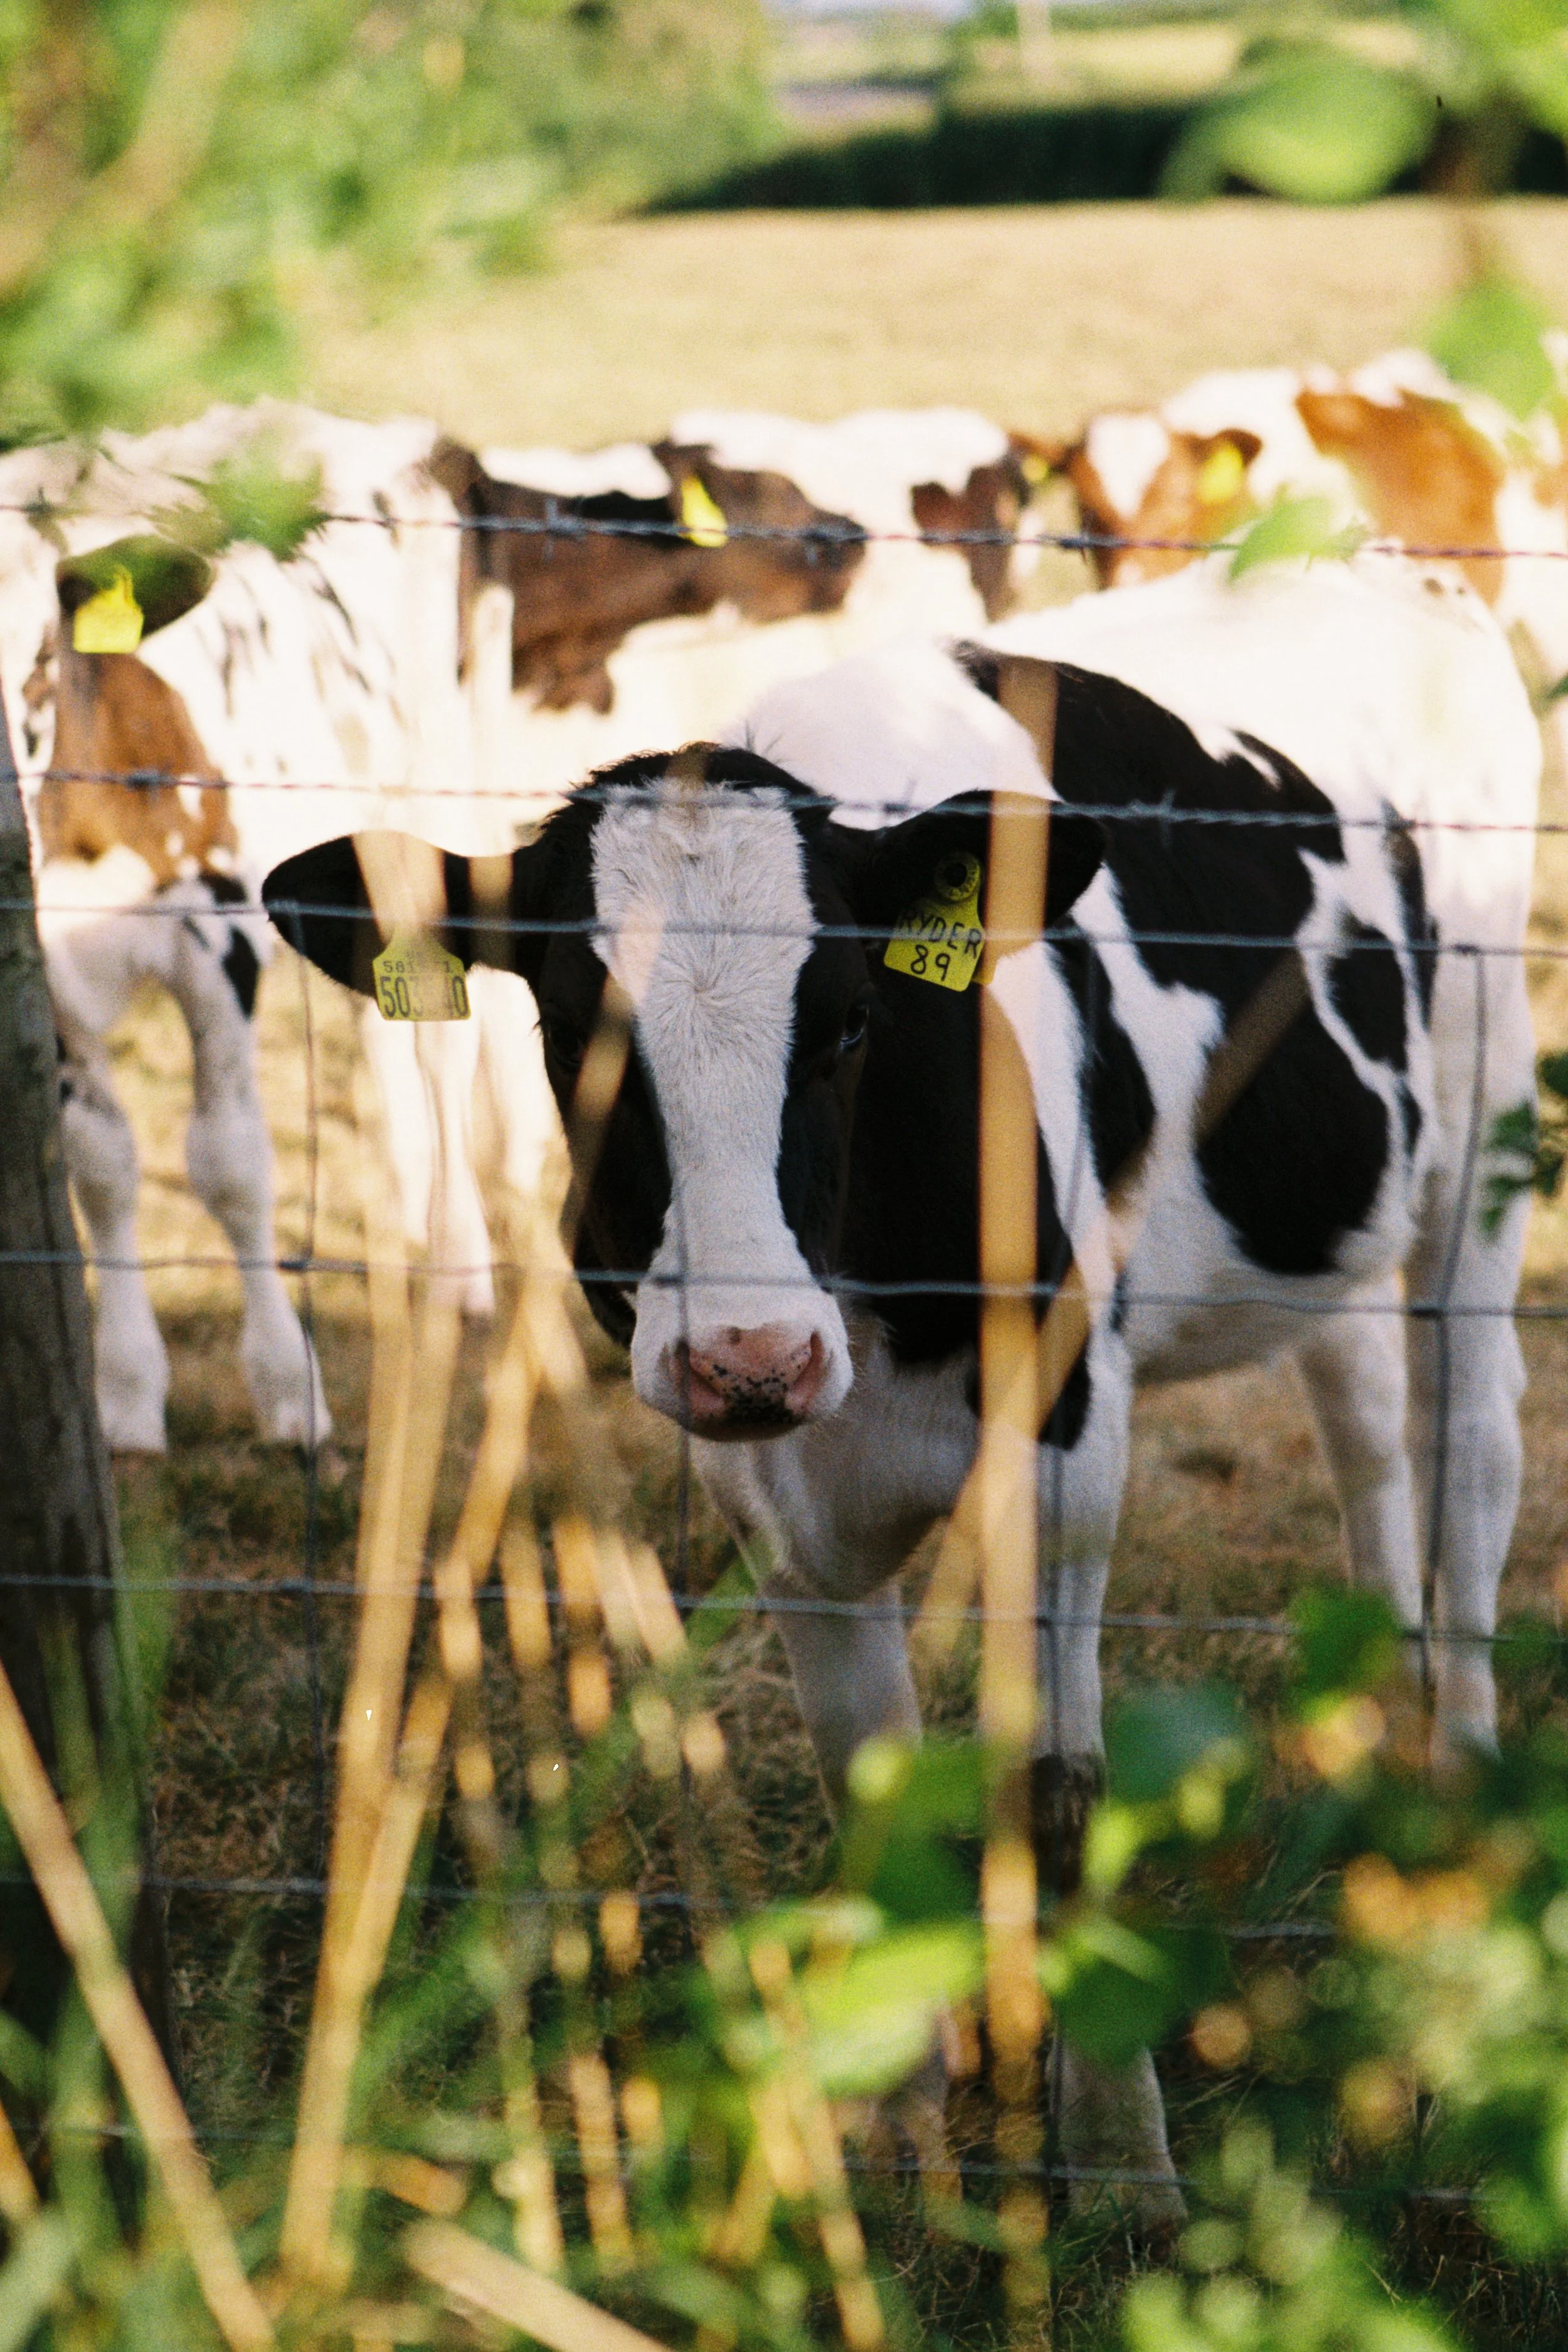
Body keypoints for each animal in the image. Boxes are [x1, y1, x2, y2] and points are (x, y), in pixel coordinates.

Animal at [263, 555, 1538, 2218]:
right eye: (567, 1030)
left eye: (853, 1021)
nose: (749, 1352)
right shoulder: (771, 1494)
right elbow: (870, 1793)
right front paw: (901, 2136)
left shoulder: (1066, 1444)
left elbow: (1054, 1792)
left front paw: (1119, 2165)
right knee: (1365, 1423)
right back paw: (1373, 1737)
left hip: (1482, 1149)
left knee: (1470, 1448)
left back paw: (1459, 1802)